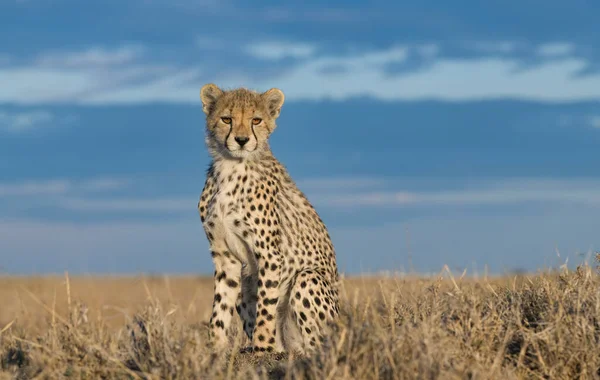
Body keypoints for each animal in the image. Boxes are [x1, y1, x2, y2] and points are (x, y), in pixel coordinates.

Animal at [196, 84, 338, 356]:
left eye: (256, 120)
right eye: (227, 119)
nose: (241, 140)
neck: (231, 166)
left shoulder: (270, 253)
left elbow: (266, 305)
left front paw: (262, 345)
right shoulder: (225, 255)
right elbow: (220, 306)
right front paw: (214, 348)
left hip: (308, 278)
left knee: (316, 346)